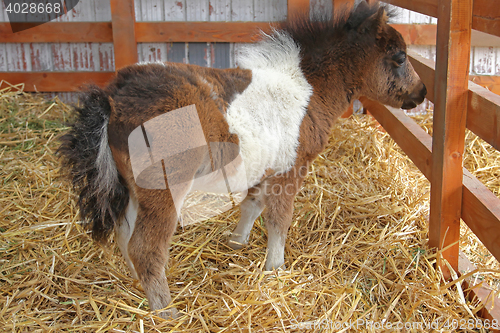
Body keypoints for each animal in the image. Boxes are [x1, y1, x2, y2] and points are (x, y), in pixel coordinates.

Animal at [57, 1, 426, 318]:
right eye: (399, 57)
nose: (421, 93)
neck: (307, 88)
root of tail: (112, 99)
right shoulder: (291, 169)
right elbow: (279, 219)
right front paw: (276, 269)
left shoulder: (266, 168)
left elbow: (252, 205)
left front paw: (237, 243)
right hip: (163, 189)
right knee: (144, 248)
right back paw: (167, 313)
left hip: (134, 189)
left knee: (125, 234)